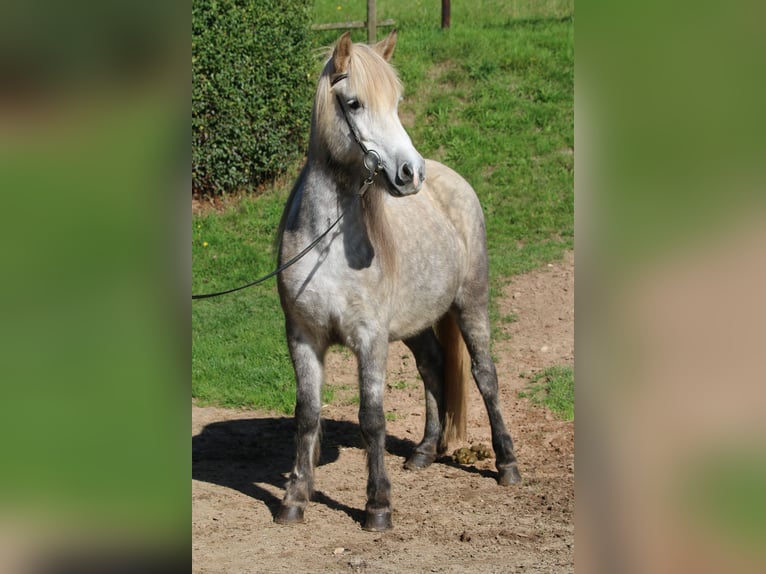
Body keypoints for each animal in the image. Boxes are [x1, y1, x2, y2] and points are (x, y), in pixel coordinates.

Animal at [275, 30, 521, 532]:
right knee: (432, 365)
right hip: (416, 323)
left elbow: (372, 417)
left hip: (471, 303)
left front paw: (378, 505)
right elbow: (306, 414)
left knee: (485, 375)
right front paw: (295, 496)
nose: (410, 173)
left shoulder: (370, 338)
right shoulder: (303, 336)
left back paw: (506, 464)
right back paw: (425, 450)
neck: (324, 245)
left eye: (396, 102)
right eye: (353, 103)